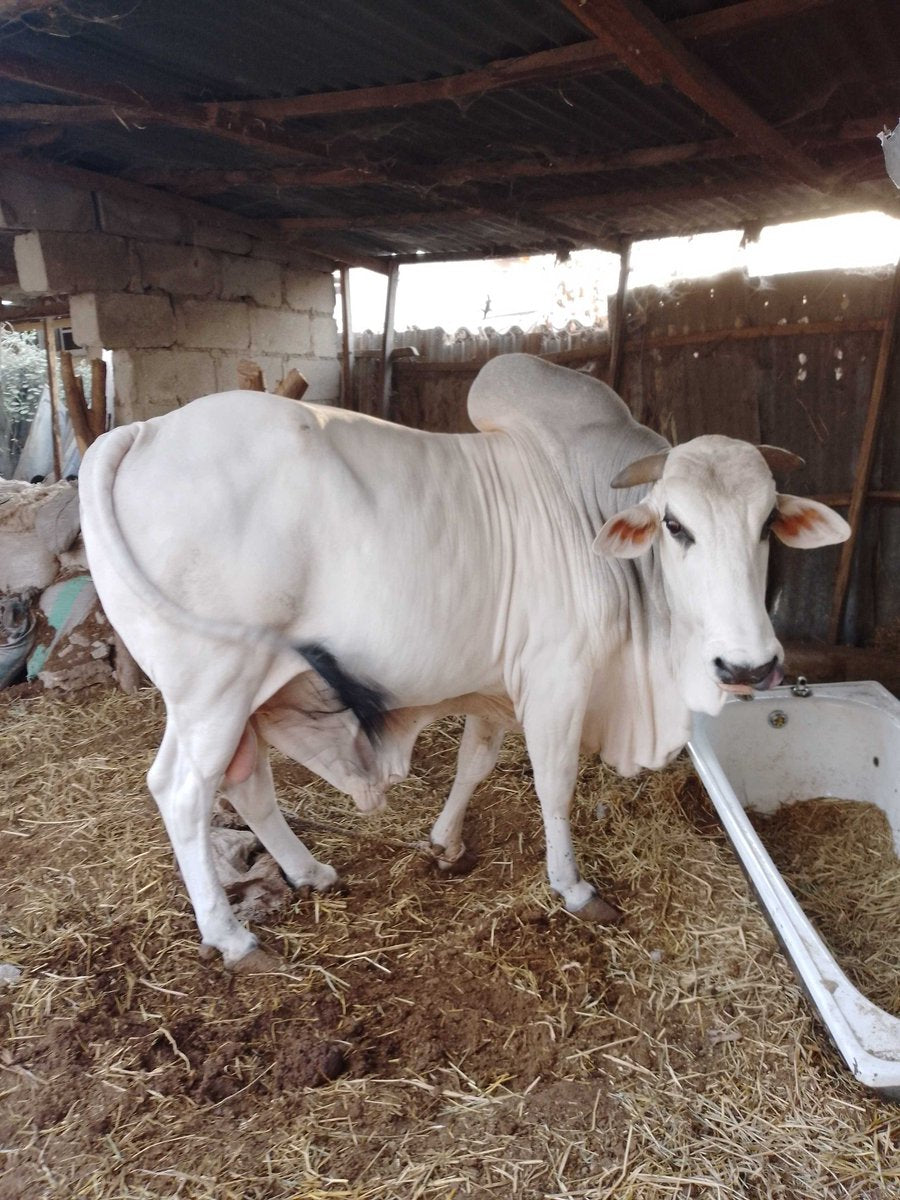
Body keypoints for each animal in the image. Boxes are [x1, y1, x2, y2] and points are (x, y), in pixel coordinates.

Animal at [78, 353, 850, 971]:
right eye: (675, 524)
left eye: (767, 522)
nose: (749, 666)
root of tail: (144, 430)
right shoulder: (558, 679)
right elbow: (555, 786)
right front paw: (573, 887)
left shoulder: (498, 685)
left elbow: (473, 764)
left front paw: (443, 843)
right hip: (216, 685)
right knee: (182, 791)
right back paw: (233, 939)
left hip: (227, 696)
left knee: (245, 784)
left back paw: (309, 870)